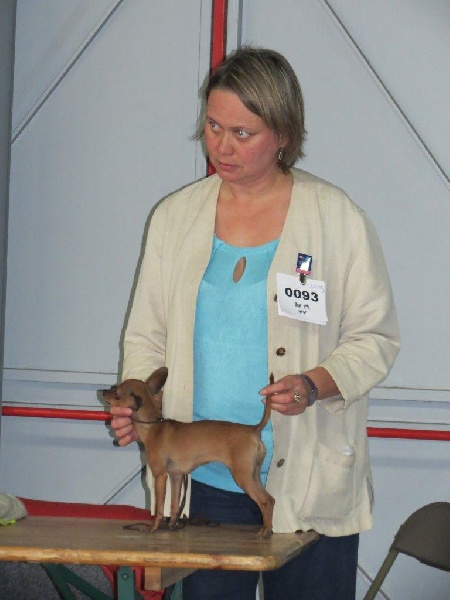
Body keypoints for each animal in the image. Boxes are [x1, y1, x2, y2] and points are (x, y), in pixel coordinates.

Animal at [102, 367, 275, 538]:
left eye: (117, 393)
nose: (103, 391)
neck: (153, 427)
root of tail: (253, 430)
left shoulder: (160, 476)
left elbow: (159, 507)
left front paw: (153, 527)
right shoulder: (176, 477)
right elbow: (174, 505)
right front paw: (172, 525)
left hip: (243, 477)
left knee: (264, 502)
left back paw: (264, 531)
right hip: (254, 475)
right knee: (270, 499)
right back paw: (269, 529)